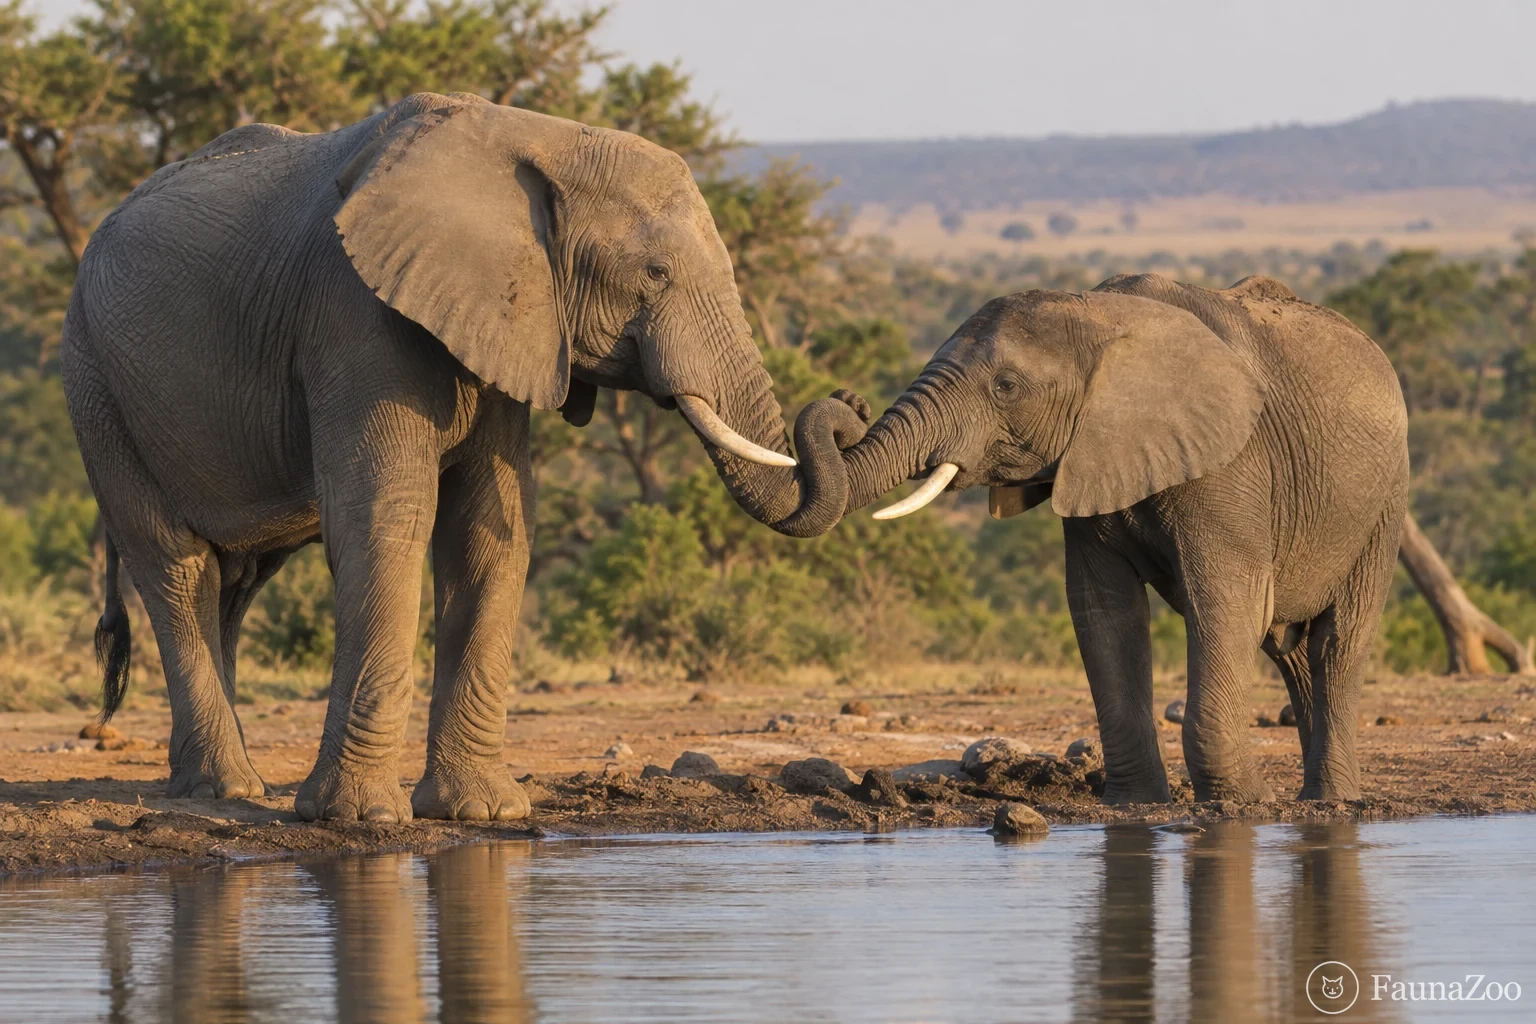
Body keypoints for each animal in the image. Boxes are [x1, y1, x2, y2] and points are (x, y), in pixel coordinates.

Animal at [61, 92, 851, 822]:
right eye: (655, 274)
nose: (844, 405)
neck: (537, 136)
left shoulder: (509, 323)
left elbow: (488, 532)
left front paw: (483, 814)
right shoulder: (353, 312)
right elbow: (387, 522)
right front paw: (362, 819)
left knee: (235, 583)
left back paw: (211, 784)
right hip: (95, 381)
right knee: (176, 565)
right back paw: (224, 788)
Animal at [794, 273, 1409, 803]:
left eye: (1005, 386)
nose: (850, 402)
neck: (1097, 313)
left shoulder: (1232, 464)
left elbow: (1227, 604)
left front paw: (1245, 804)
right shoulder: (1089, 457)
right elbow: (1104, 610)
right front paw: (1136, 804)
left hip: (1385, 503)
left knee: (1337, 643)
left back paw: (1331, 800)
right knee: (1293, 656)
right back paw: (1316, 796)